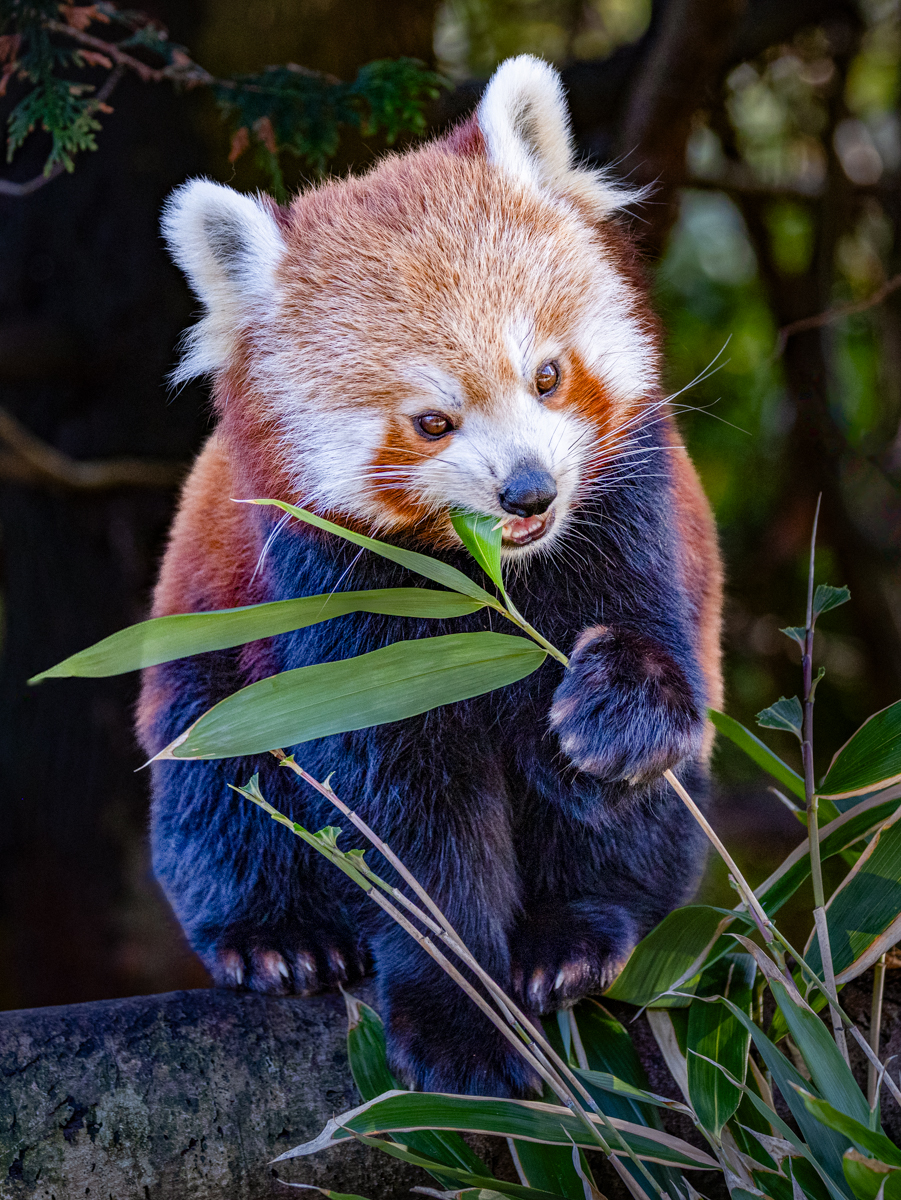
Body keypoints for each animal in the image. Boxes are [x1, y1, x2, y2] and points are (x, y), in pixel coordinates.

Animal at [138, 54, 723, 1098]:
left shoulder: (626, 510)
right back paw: (274, 941)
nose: (528, 492)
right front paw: (459, 1015)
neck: (491, 578)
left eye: (546, 376)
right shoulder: (341, 594)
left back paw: (584, 939)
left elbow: (625, 708)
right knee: (219, 787)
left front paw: (608, 718)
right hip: (204, 665)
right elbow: (408, 816)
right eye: (432, 422)